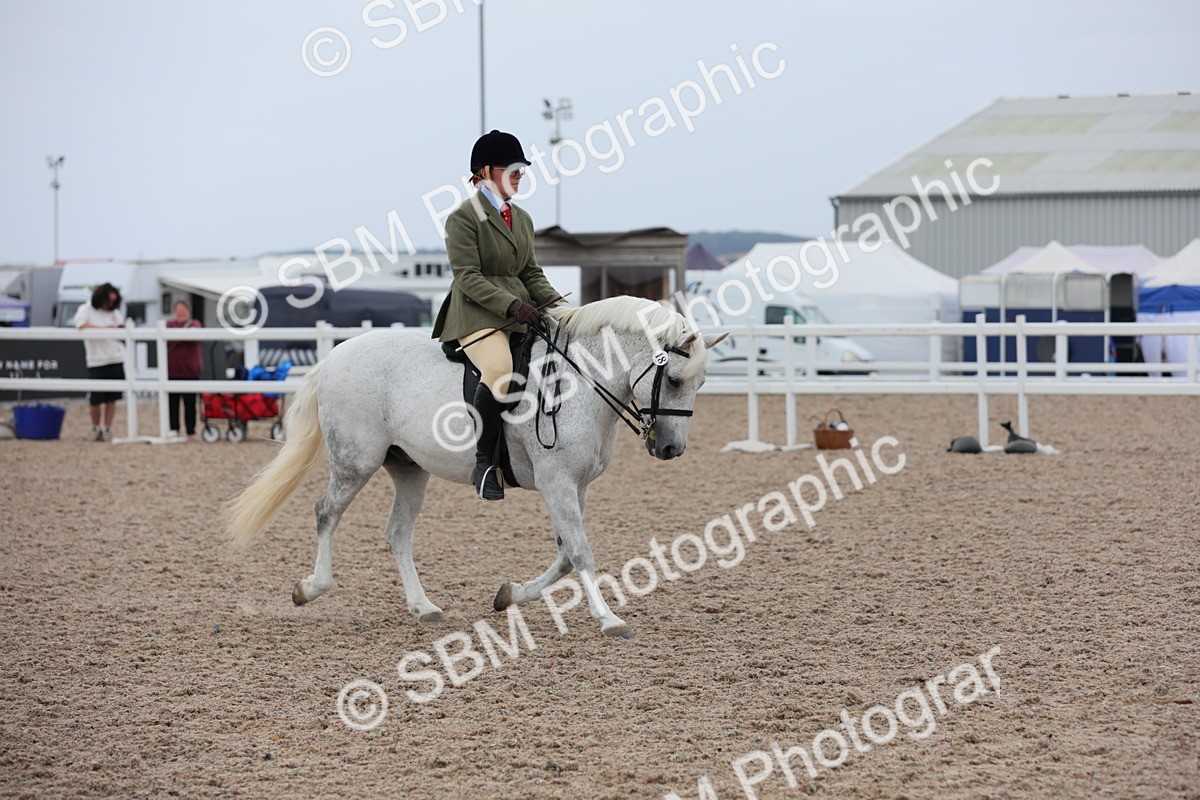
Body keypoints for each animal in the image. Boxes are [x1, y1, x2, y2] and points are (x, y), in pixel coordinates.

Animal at [227, 296, 727, 638]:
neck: (579, 381)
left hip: (408, 469)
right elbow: (581, 551)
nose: (671, 449)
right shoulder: (556, 483)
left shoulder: (576, 486)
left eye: (702, 383)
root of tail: (333, 355)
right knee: (326, 513)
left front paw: (511, 595)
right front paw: (608, 617)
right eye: (675, 380)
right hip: (356, 462)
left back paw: (423, 606)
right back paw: (311, 588)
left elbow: (566, 553)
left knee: (397, 533)